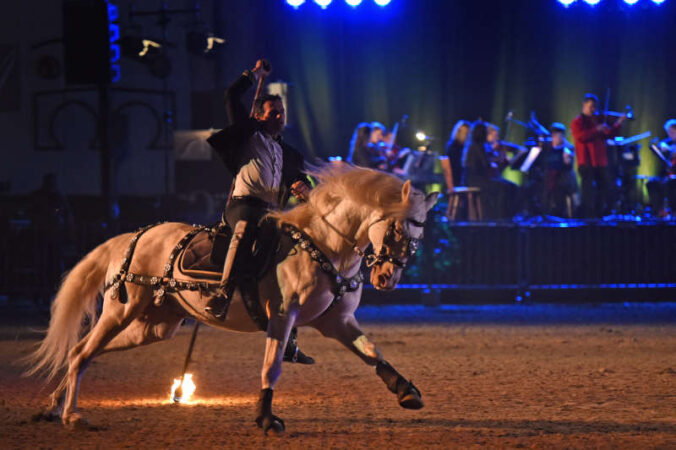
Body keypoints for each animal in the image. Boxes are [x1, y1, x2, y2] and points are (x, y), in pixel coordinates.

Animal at [23, 164, 438, 432]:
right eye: (397, 228)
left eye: (420, 234)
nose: (386, 278)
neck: (324, 244)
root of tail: (134, 236)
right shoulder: (282, 316)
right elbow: (272, 366)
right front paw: (267, 419)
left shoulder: (336, 322)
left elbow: (372, 352)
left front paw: (407, 391)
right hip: (122, 311)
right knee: (82, 352)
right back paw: (72, 416)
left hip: (153, 326)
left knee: (85, 353)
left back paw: (54, 407)